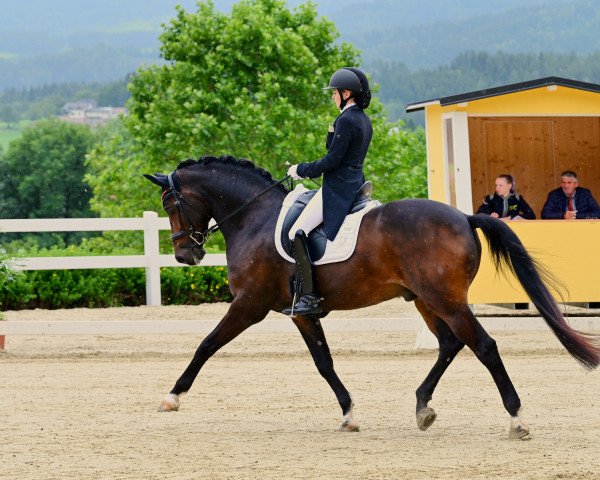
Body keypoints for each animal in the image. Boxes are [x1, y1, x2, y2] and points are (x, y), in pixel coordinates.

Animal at [145, 155, 600, 438]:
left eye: (170, 203)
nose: (186, 255)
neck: (254, 218)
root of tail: (463, 216)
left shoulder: (250, 304)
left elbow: (207, 344)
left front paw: (171, 397)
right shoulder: (301, 312)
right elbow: (324, 363)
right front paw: (348, 414)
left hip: (445, 299)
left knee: (483, 345)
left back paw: (517, 420)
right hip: (425, 299)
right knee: (450, 344)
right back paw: (422, 407)